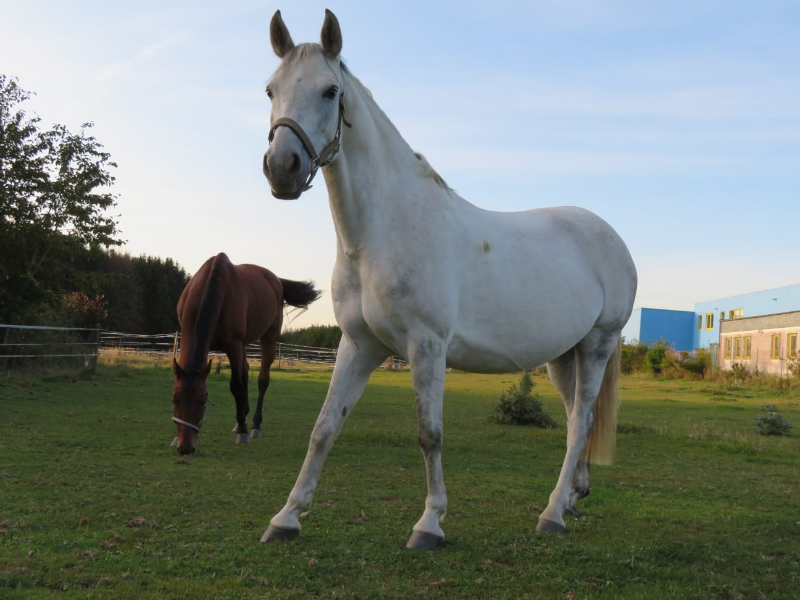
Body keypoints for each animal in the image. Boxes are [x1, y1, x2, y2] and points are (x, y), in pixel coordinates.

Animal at [170, 252, 321, 456]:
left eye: (202, 401)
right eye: (174, 400)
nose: (185, 447)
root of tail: (276, 280)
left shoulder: (233, 345)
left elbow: (236, 385)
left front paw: (243, 431)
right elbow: (241, 380)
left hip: (267, 339)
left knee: (262, 380)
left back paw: (255, 426)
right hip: (243, 344)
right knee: (245, 371)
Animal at [260, 10, 637, 549]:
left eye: (330, 91)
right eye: (271, 89)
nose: (282, 168)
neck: (385, 230)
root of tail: (612, 238)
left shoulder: (427, 345)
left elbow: (429, 434)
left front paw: (430, 523)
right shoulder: (358, 345)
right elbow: (324, 428)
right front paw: (286, 517)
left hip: (599, 344)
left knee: (581, 419)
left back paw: (552, 514)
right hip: (565, 355)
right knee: (574, 422)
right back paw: (570, 499)